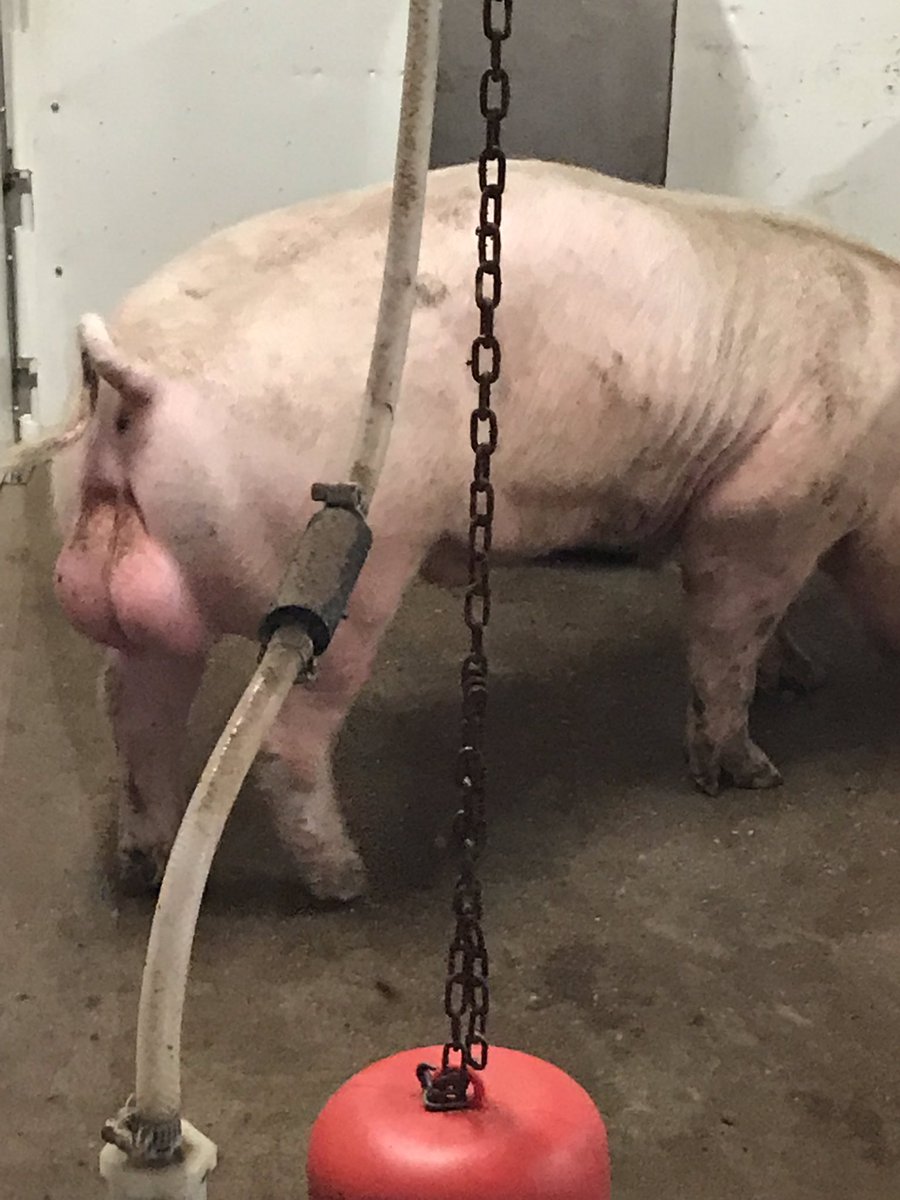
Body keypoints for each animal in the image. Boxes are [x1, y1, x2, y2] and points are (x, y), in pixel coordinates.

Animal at [27, 158, 900, 901]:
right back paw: (349, 883)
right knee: (281, 743)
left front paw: (804, 677)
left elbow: (768, 629)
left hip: (152, 580)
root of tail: (145, 381)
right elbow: (727, 644)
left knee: (133, 703)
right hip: (346, 579)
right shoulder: (764, 510)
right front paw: (752, 774)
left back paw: (147, 867)